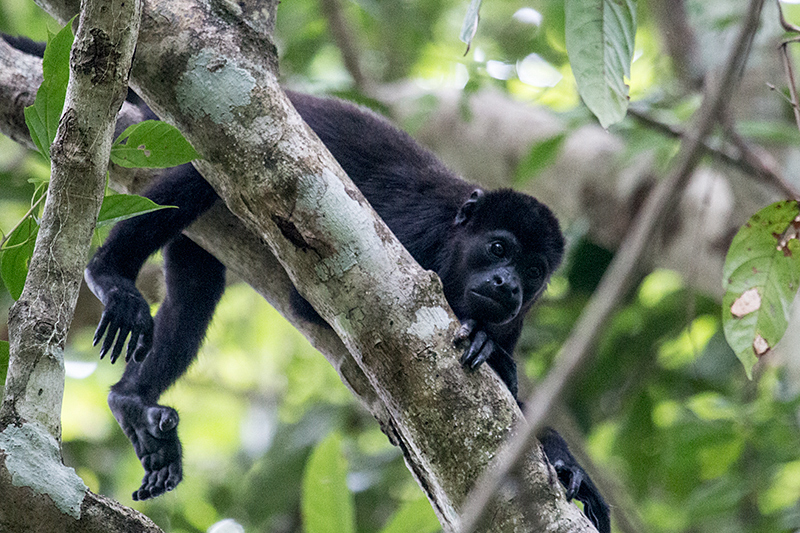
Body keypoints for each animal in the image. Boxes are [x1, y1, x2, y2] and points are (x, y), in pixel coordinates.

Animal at [3, 33, 608, 532]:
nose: (508, 285)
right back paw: (109, 275)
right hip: (209, 144)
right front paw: (480, 339)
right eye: (499, 248)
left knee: (196, 289)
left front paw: (567, 469)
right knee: (199, 179)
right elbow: (319, 303)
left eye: (534, 273)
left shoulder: (516, 323)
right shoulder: (416, 238)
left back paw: (132, 399)